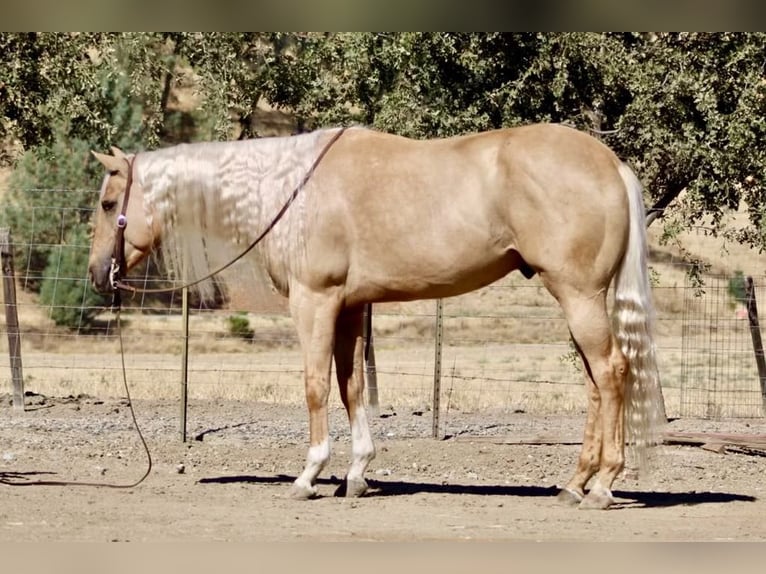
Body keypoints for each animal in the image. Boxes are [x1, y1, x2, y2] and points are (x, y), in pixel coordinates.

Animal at [88, 123, 665, 509]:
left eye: (108, 202)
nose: (98, 274)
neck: (291, 189)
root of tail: (610, 163)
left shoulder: (315, 301)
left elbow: (316, 386)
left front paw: (309, 475)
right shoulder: (350, 306)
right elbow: (352, 389)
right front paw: (358, 475)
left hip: (579, 295)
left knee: (612, 372)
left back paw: (603, 485)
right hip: (578, 299)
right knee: (596, 382)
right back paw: (575, 483)